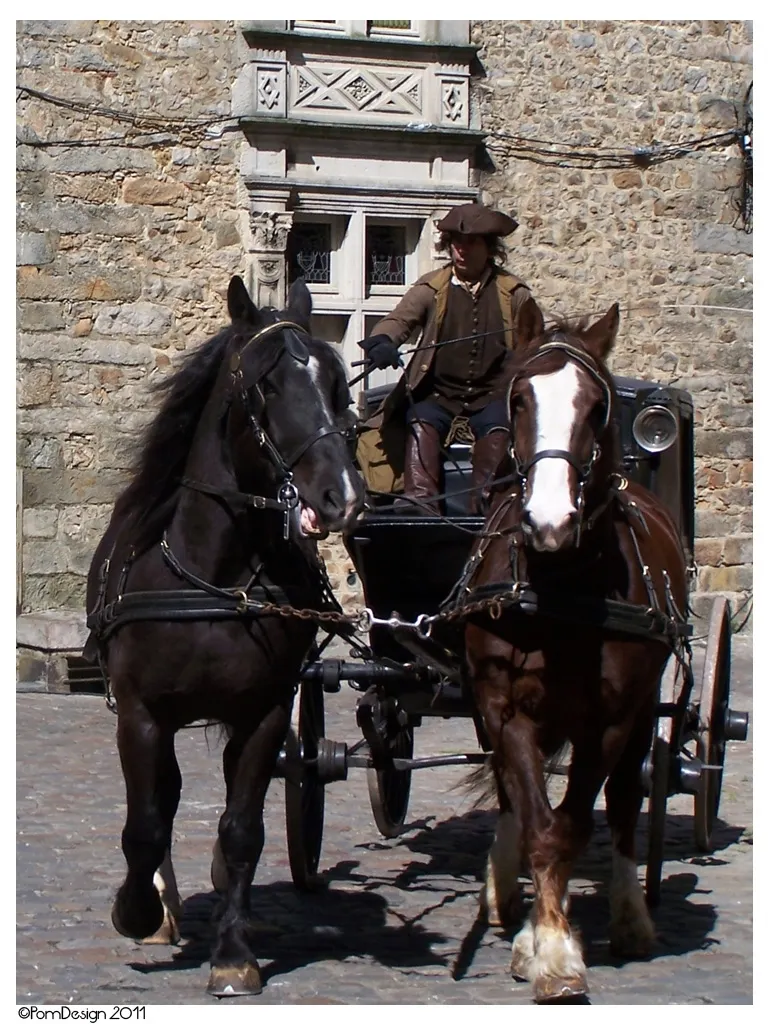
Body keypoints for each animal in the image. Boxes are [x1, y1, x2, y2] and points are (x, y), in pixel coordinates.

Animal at [83, 275, 365, 996]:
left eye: (338, 385)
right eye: (267, 386)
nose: (344, 495)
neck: (215, 576)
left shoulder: (264, 714)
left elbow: (242, 829)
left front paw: (234, 954)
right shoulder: (140, 714)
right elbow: (144, 824)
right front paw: (137, 910)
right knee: (160, 800)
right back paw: (160, 904)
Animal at [461, 297, 689, 1002]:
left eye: (597, 406)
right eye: (518, 400)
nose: (550, 522)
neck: (559, 587)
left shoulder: (610, 721)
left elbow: (574, 824)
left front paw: (555, 947)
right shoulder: (503, 705)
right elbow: (538, 820)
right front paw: (546, 943)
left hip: (642, 715)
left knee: (623, 805)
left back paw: (629, 915)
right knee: (515, 795)